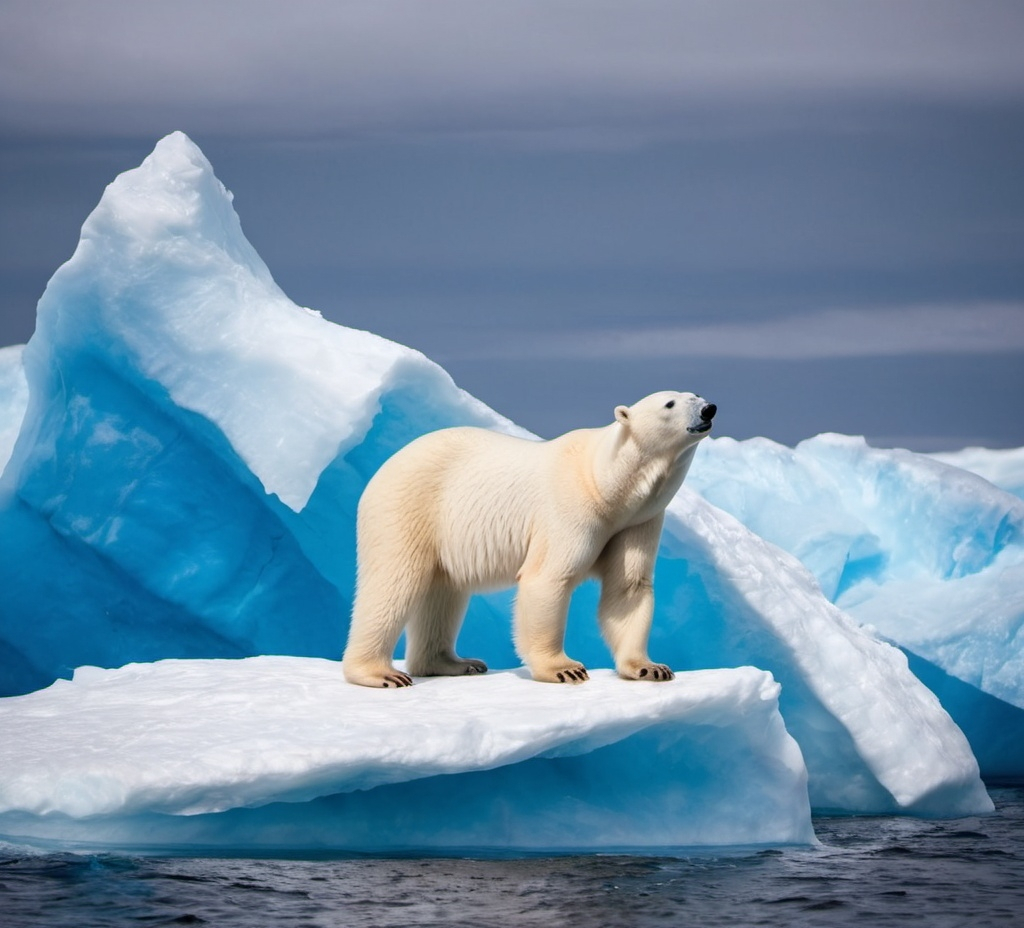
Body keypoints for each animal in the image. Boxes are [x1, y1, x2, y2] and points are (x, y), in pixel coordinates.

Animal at [339, 387, 716, 684]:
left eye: (696, 394)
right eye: (669, 403)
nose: (709, 409)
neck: (607, 483)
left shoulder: (638, 521)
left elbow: (629, 587)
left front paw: (650, 667)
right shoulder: (572, 510)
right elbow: (548, 578)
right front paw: (564, 669)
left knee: (444, 592)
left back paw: (454, 663)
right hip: (407, 508)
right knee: (394, 582)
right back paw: (379, 673)